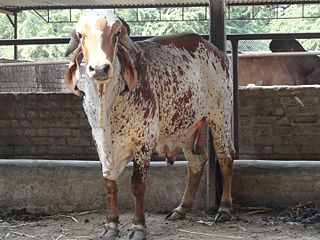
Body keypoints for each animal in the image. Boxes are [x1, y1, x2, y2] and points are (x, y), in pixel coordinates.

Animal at [64, 9, 235, 240]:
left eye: (116, 34)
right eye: (81, 35)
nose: (99, 68)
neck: (107, 103)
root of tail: (214, 49)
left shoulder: (143, 141)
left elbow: (138, 185)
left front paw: (138, 227)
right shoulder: (101, 142)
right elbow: (109, 183)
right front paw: (111, 225)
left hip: (220, 115)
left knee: (226, 158)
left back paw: (224, 209)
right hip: (184, 127)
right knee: (197, 162)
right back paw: (181, 208)